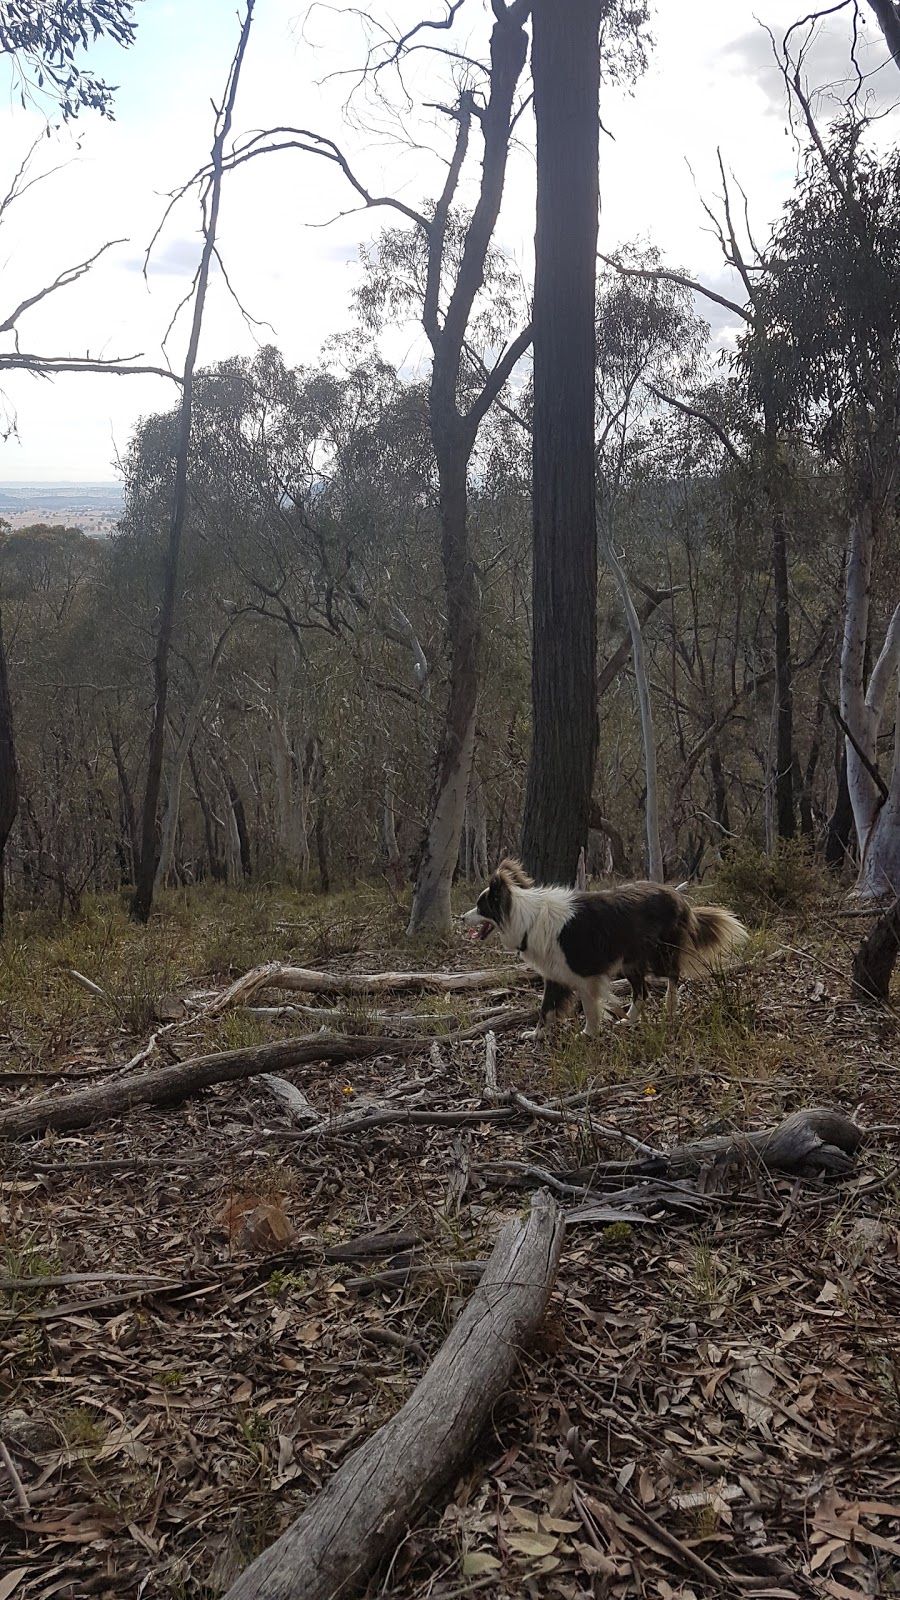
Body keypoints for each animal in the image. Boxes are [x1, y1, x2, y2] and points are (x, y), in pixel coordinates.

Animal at [458, 857, 746, 1030]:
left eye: (481, 906)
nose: (461, 917)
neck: (525, 917)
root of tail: (677, 895)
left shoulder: (585, 974)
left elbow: (589, 1007)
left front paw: (589, 1033)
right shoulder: (555, 973)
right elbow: (546, 1007)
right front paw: (538, 1035)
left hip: (659, 954)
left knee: (673, 976)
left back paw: (670, 1007)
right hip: (630, 962)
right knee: (641, 992)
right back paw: (628, 1020)